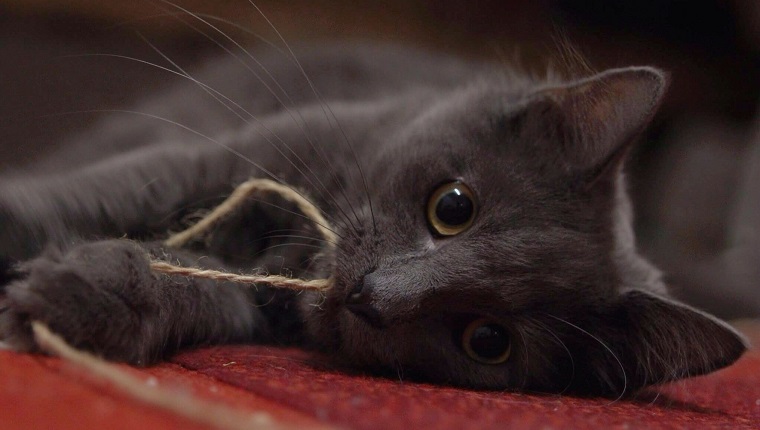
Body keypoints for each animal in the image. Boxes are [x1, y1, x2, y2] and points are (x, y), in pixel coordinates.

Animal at [0, 42, 748, 398]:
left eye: (488, 340)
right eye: (452, 207)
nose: (372, 296)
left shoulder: (251, 305)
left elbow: (196, 287)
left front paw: (91, 294)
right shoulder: (210, 161)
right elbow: (87, 194)